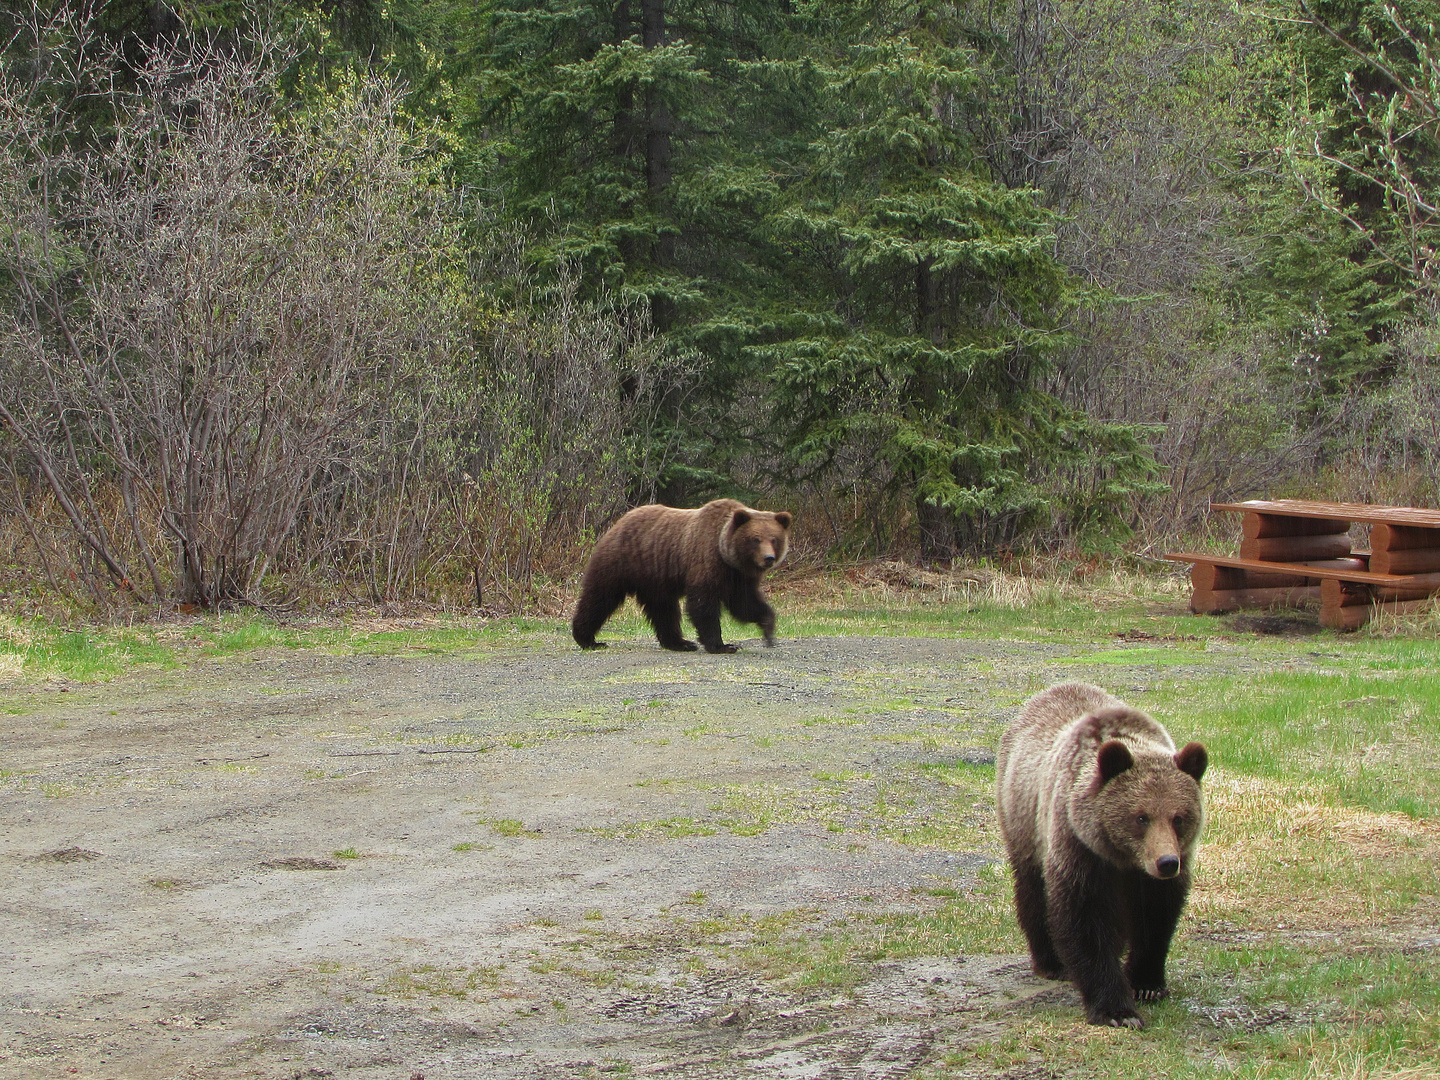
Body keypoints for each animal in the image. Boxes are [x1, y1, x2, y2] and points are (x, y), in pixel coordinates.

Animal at [570, 504, 794, 656]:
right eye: (755, 539)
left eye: (774, 539)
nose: (768, 558)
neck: (727, 556)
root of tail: (619, 521)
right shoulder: (705, 561)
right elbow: (703, 605)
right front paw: (722, 645)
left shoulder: (739, 577)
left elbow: (745, 604)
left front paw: (768, 629)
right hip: (621, 563)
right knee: (600, 597)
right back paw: (588, 639)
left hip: (655, 578)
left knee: (664, 609)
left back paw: (679, 642)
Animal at [996, 685, 1209, 1031]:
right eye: (1141, 817)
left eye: (1179, 817)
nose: (1166, 863)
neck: (1123, 858)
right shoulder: (1079, 848)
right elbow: (1085, 918)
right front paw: (1116, 1009)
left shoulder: (1158, 872)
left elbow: (1156, 915)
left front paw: (1147, 983)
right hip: (1023, 818)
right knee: (1032, 888)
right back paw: (1051, 962)